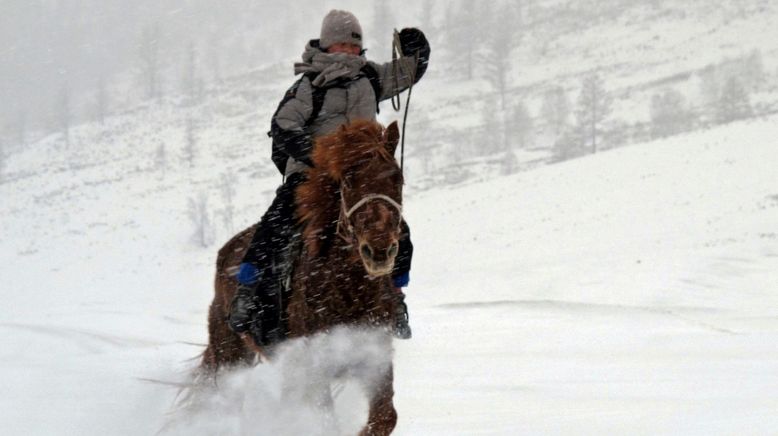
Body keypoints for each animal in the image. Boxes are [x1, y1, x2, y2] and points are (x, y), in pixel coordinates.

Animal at [200, 120, 406, 436]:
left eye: (397, 178)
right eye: (348, 181)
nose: (379, 250)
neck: (348, 290)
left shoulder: (374, 359)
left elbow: (385, 417)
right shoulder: (314, 369)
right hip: (230, 356)